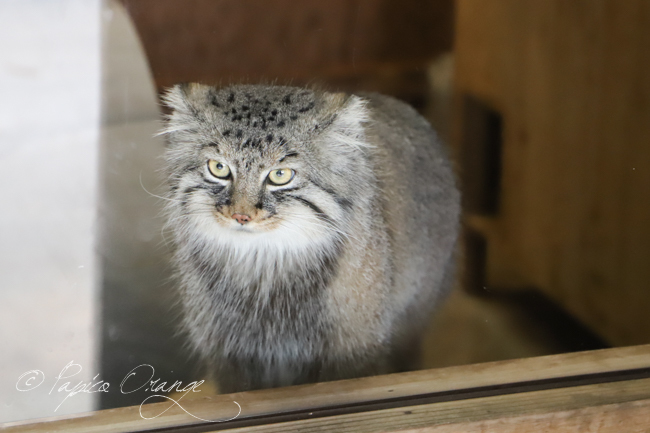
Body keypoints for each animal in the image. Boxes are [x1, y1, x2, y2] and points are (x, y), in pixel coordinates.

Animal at [160, 82, 458, 392]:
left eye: (280, 175)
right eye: (218, 168)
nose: (241, 216)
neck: (263, 269)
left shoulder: (354, 351)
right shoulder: (229, 357)